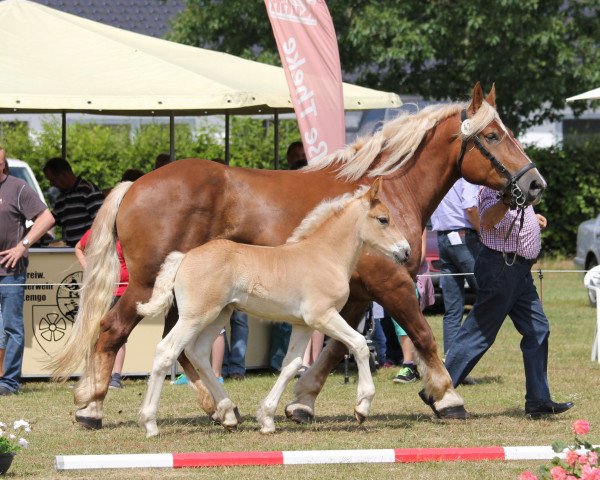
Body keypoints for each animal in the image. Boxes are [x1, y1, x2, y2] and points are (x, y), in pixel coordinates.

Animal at [137, 178, 408, 436]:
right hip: (195, 316)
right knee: (167, 351)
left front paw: (266, 418)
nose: (406, 251)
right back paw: (150, 423)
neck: (325, 256)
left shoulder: (303, 324)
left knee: (199, 353)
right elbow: (359, 345)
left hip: (218, 315)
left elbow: (291, 365)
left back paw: (228, 415)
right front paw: (362, 407)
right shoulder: (323, 316)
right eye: (383, 219)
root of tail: (183, 256)